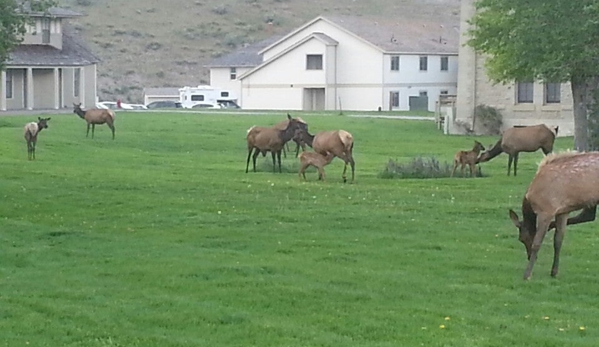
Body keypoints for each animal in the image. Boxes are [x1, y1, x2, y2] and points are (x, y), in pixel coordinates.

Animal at [508, 152, 599, 280]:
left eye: (522, 239)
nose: (529, 256)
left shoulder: (546, 210)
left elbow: (537, 243)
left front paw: (527, 274)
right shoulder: (563, 211)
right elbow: (558, 241)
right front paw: (554, 272)